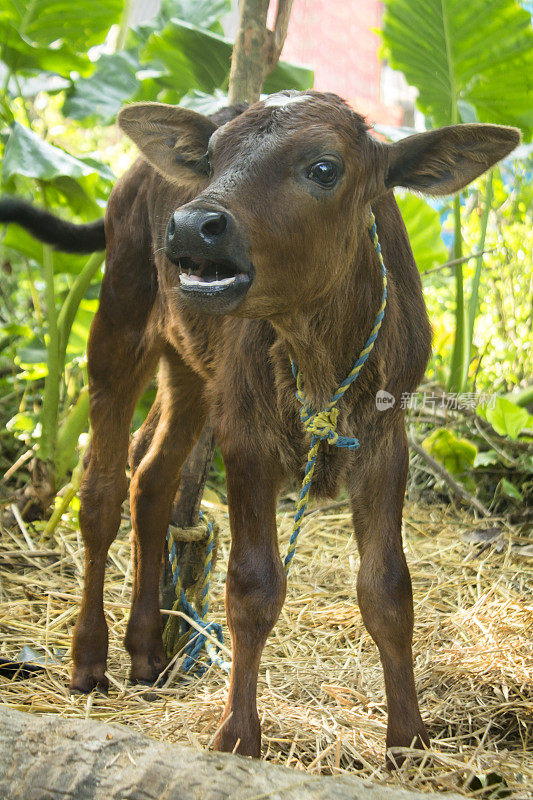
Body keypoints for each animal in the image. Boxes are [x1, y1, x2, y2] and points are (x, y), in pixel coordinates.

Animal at [4, 90, 520, 760]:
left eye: (324, 168)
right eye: (213, 157)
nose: (190, 224)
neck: (321, 349)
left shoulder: (387, 440)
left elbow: (387, 589)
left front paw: (408, 737)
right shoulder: (246, 436)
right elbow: (252, 587)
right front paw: (237, 736)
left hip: (191, 371)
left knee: (153, 475)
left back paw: (145, 650)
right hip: (116, 322)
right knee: (101, 492)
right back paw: (89, 658)